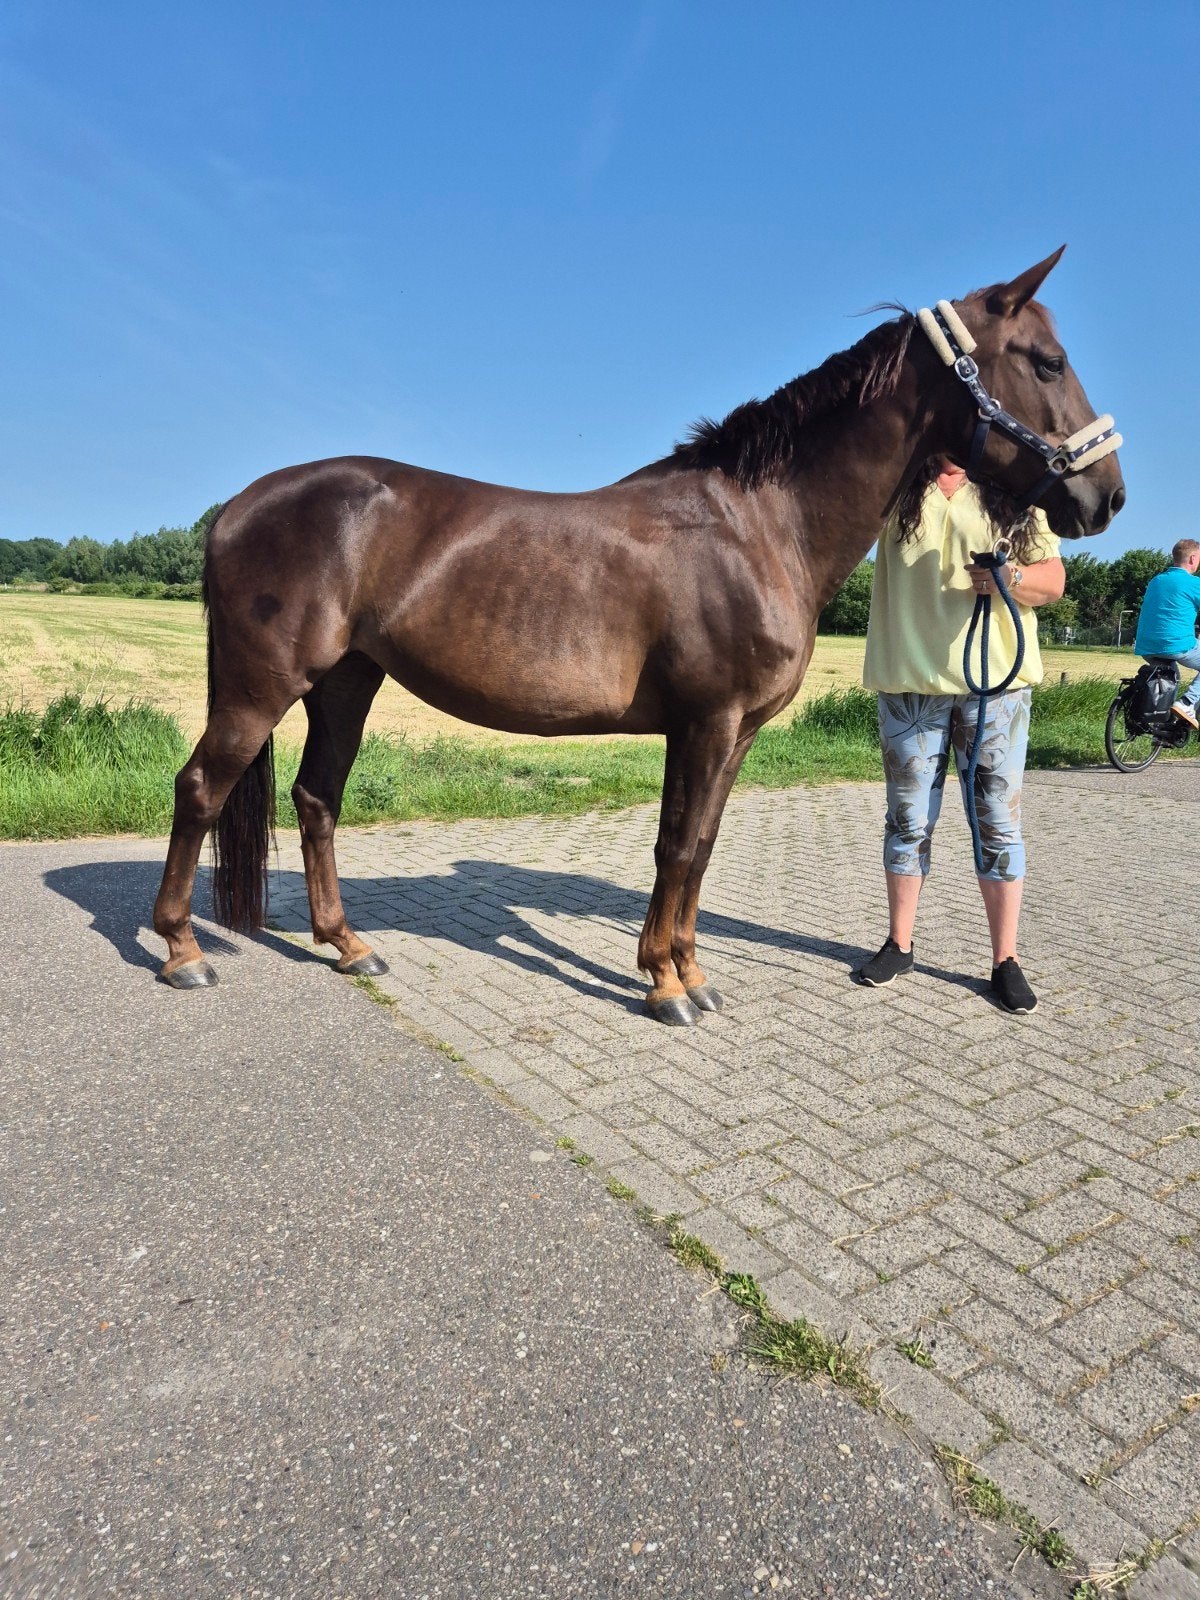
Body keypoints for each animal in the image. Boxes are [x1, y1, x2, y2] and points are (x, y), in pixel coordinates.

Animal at [152, 248, 1124, 1024]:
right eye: (1047, 360)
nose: (1106, 496)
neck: (758, 524)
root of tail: (236, 508)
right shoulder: (705, 722)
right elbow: (676, 846)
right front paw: (664, 985)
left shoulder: (731, 734)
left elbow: (699, 849)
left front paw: (690, 973)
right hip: (262, 687)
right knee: (200, 788)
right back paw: (182, 952)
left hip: (347, 681)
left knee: (317, 797)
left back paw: (348, 945)